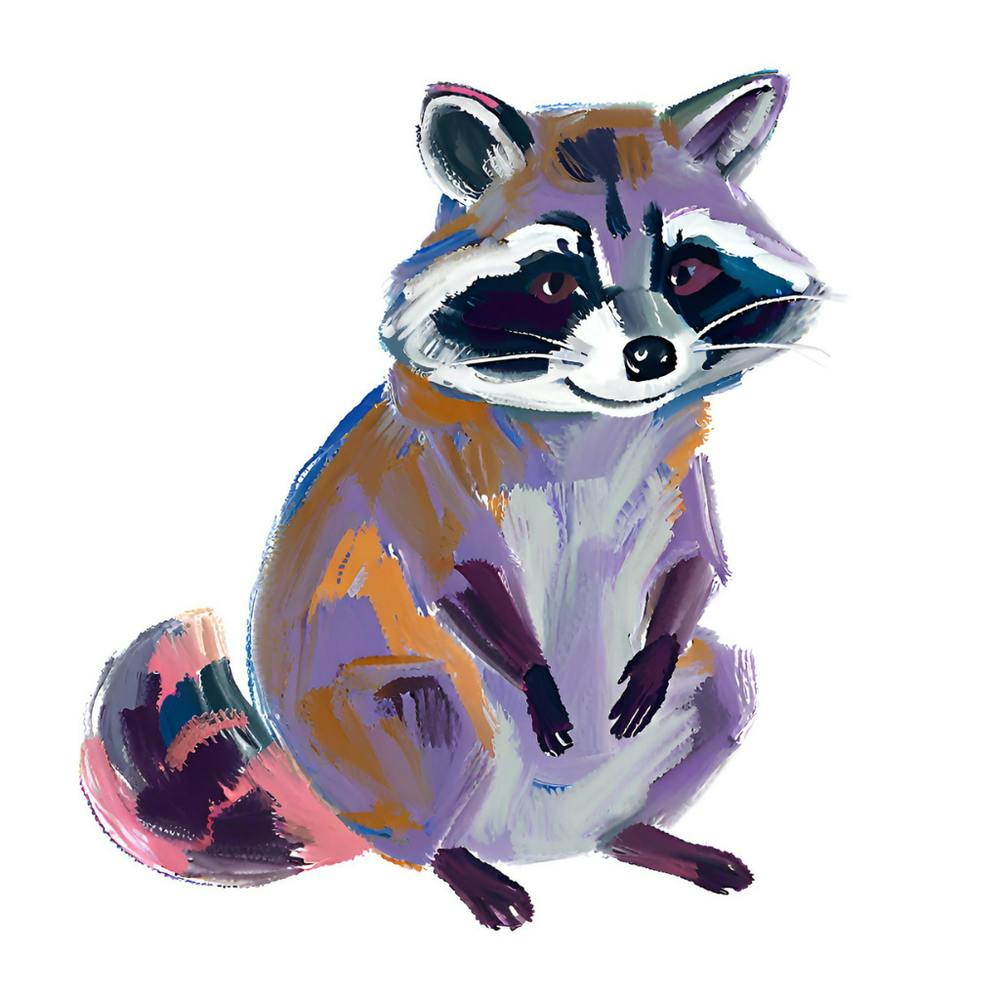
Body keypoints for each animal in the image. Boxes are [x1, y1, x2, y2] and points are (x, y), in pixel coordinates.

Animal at [81, 71, 824, 929]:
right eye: (554, 283)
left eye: (687, 274)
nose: (651, 356)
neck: (592, 424)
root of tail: (543, 839)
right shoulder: (423, 472)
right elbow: (457, 579)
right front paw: (531, 667)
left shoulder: (684, 474)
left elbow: (697, 562)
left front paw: (665, 633)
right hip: (387, 736)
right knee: (428, 714)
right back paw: (453, 857)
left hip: (685, 715)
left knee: (724, 683)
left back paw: (644, 834)